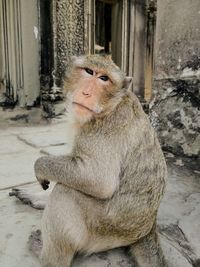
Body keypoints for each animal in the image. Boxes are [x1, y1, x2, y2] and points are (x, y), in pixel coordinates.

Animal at [10, 55, 168, 267]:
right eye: (89, 71)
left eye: (104, 79)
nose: (86, 92)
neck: (112, 103)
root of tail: (148, 227)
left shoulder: (106, 126)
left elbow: (98, 180)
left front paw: (40, 166)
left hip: (104, 231)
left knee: (65, 191)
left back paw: (47, 256)